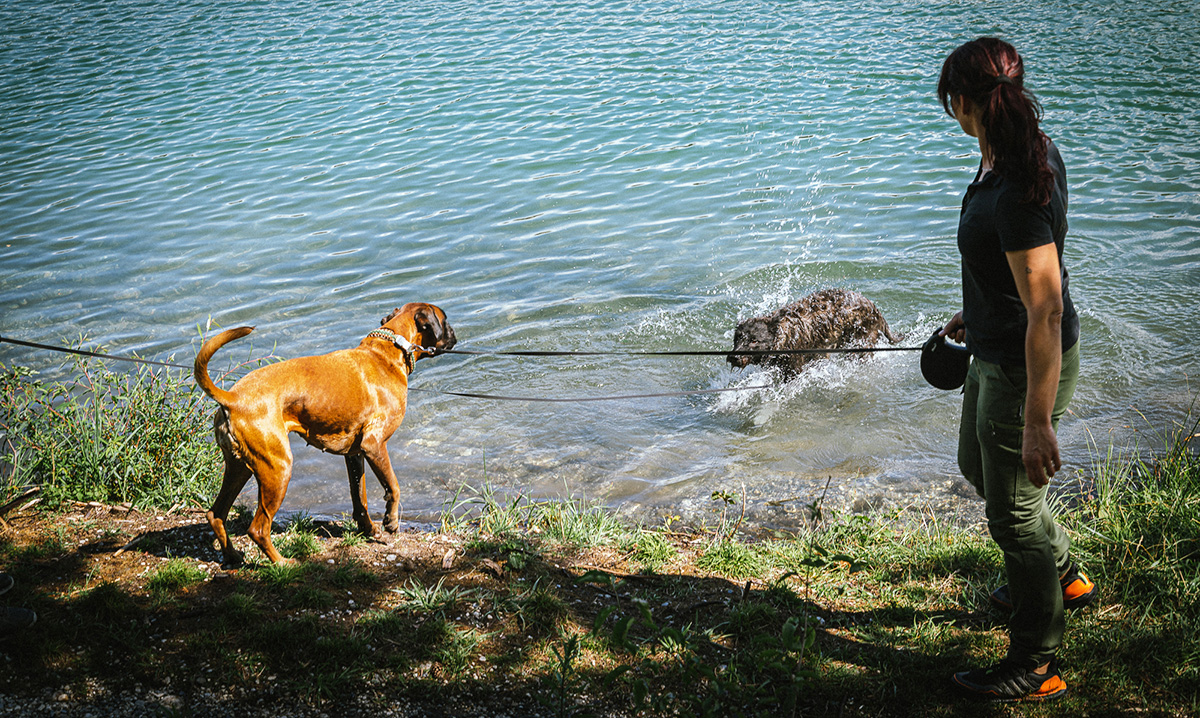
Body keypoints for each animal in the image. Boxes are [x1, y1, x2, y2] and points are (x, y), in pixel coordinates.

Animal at [194, 303, 456, 569]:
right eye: (445, 320)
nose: (455, 333)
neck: (387, 352)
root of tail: (233, 399)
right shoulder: (374, 445)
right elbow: (393, 486)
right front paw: (390, 521)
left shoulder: (355, 455)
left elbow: (359, 498)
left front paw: (369, 530)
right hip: (277, 469)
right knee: (258, 528)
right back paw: (283, 563)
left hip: (239, 468)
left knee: (216, 514)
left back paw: (232, 555)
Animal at [720, 289, 902, 379]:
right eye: (737, 339)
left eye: (754, 341)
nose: (734, 357)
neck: (781, 335)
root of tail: (873, 307)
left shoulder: (795, 368)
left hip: (861, 343)